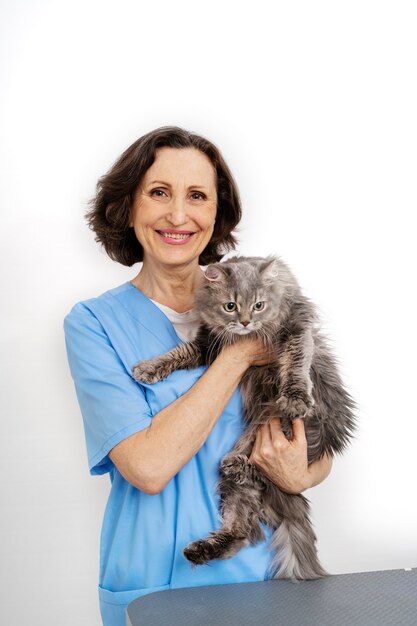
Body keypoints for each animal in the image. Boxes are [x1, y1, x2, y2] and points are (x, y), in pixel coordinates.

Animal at [132, 256, 354, 576]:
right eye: (230, 306)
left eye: (259, 305)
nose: (246, 322)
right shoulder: (209, 345)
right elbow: (178, 353)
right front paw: (149, 368)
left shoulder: (296, 329)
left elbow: (296, 364)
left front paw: (295, 398)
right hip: (240, 486)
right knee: (241, 531)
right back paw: (199, 548)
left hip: (287, 431)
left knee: (265, 477)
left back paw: (237, 464)